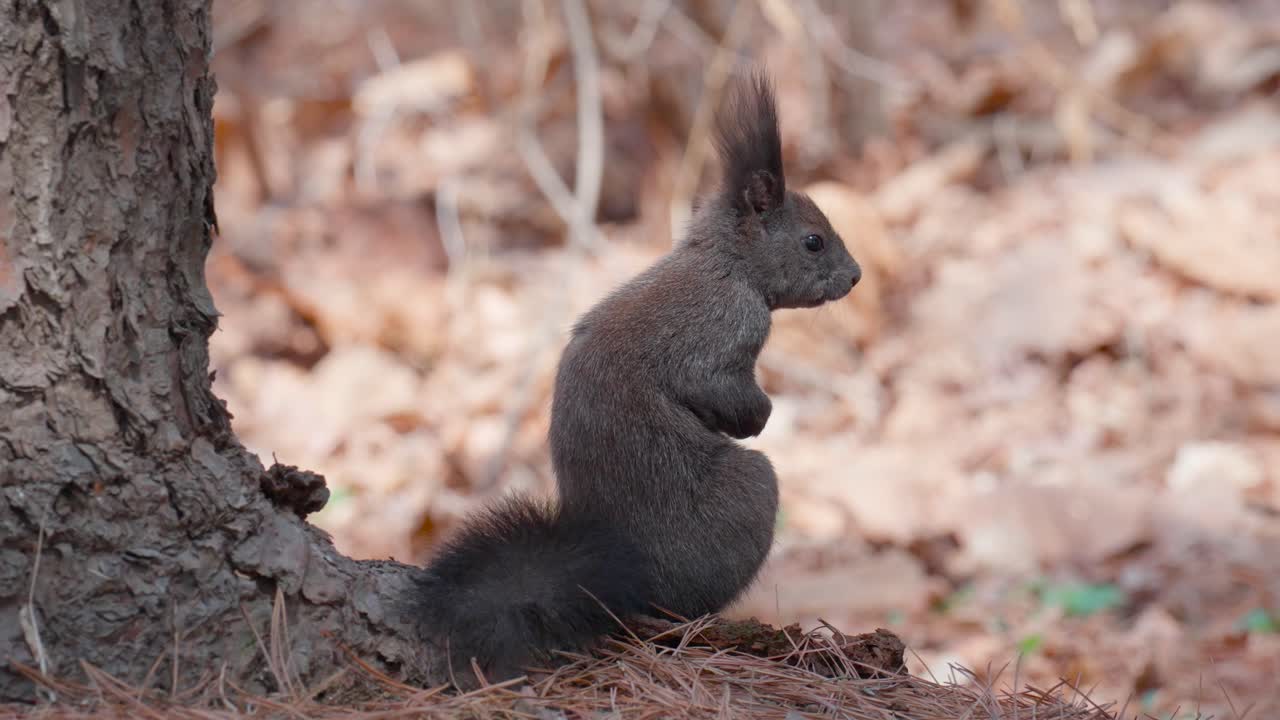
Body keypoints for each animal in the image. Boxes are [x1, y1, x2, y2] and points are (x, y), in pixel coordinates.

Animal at [411, 69, 861, 687]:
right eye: (813, 241)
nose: (856, 276)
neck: (726, 264)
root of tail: (613, 587)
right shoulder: (722, 332)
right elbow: (716, 385)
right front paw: (758, 418)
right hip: (748, 497)